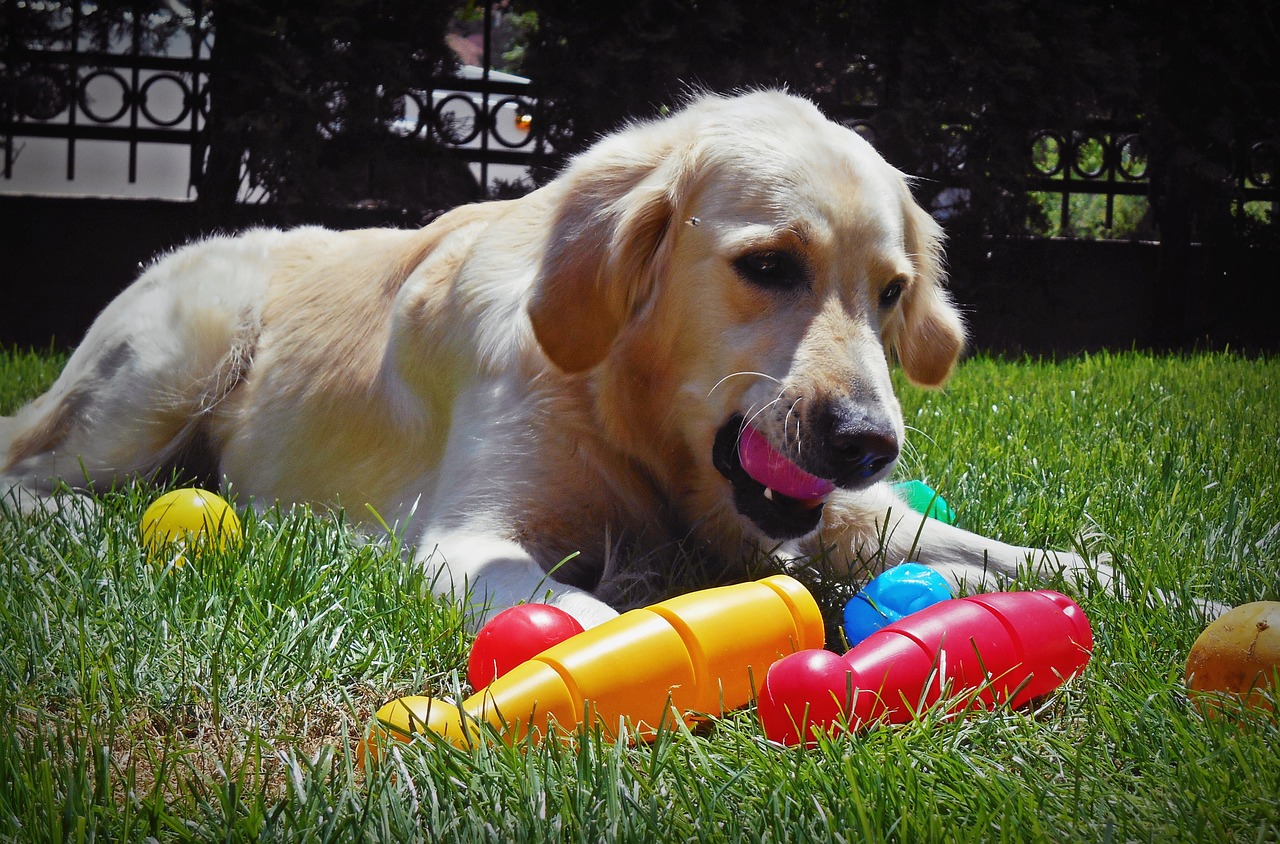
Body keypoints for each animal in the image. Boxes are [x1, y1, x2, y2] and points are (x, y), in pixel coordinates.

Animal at [0, 92, 1111, 630]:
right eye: (767, 266)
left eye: (889, 292)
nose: (870, 443)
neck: (624, 409)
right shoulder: (468, 536)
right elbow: (569, 608)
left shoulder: (823, 512)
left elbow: (959, 541)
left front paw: (1096, 571)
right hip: (177, 354)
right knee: (30, 471)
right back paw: (75, 518)